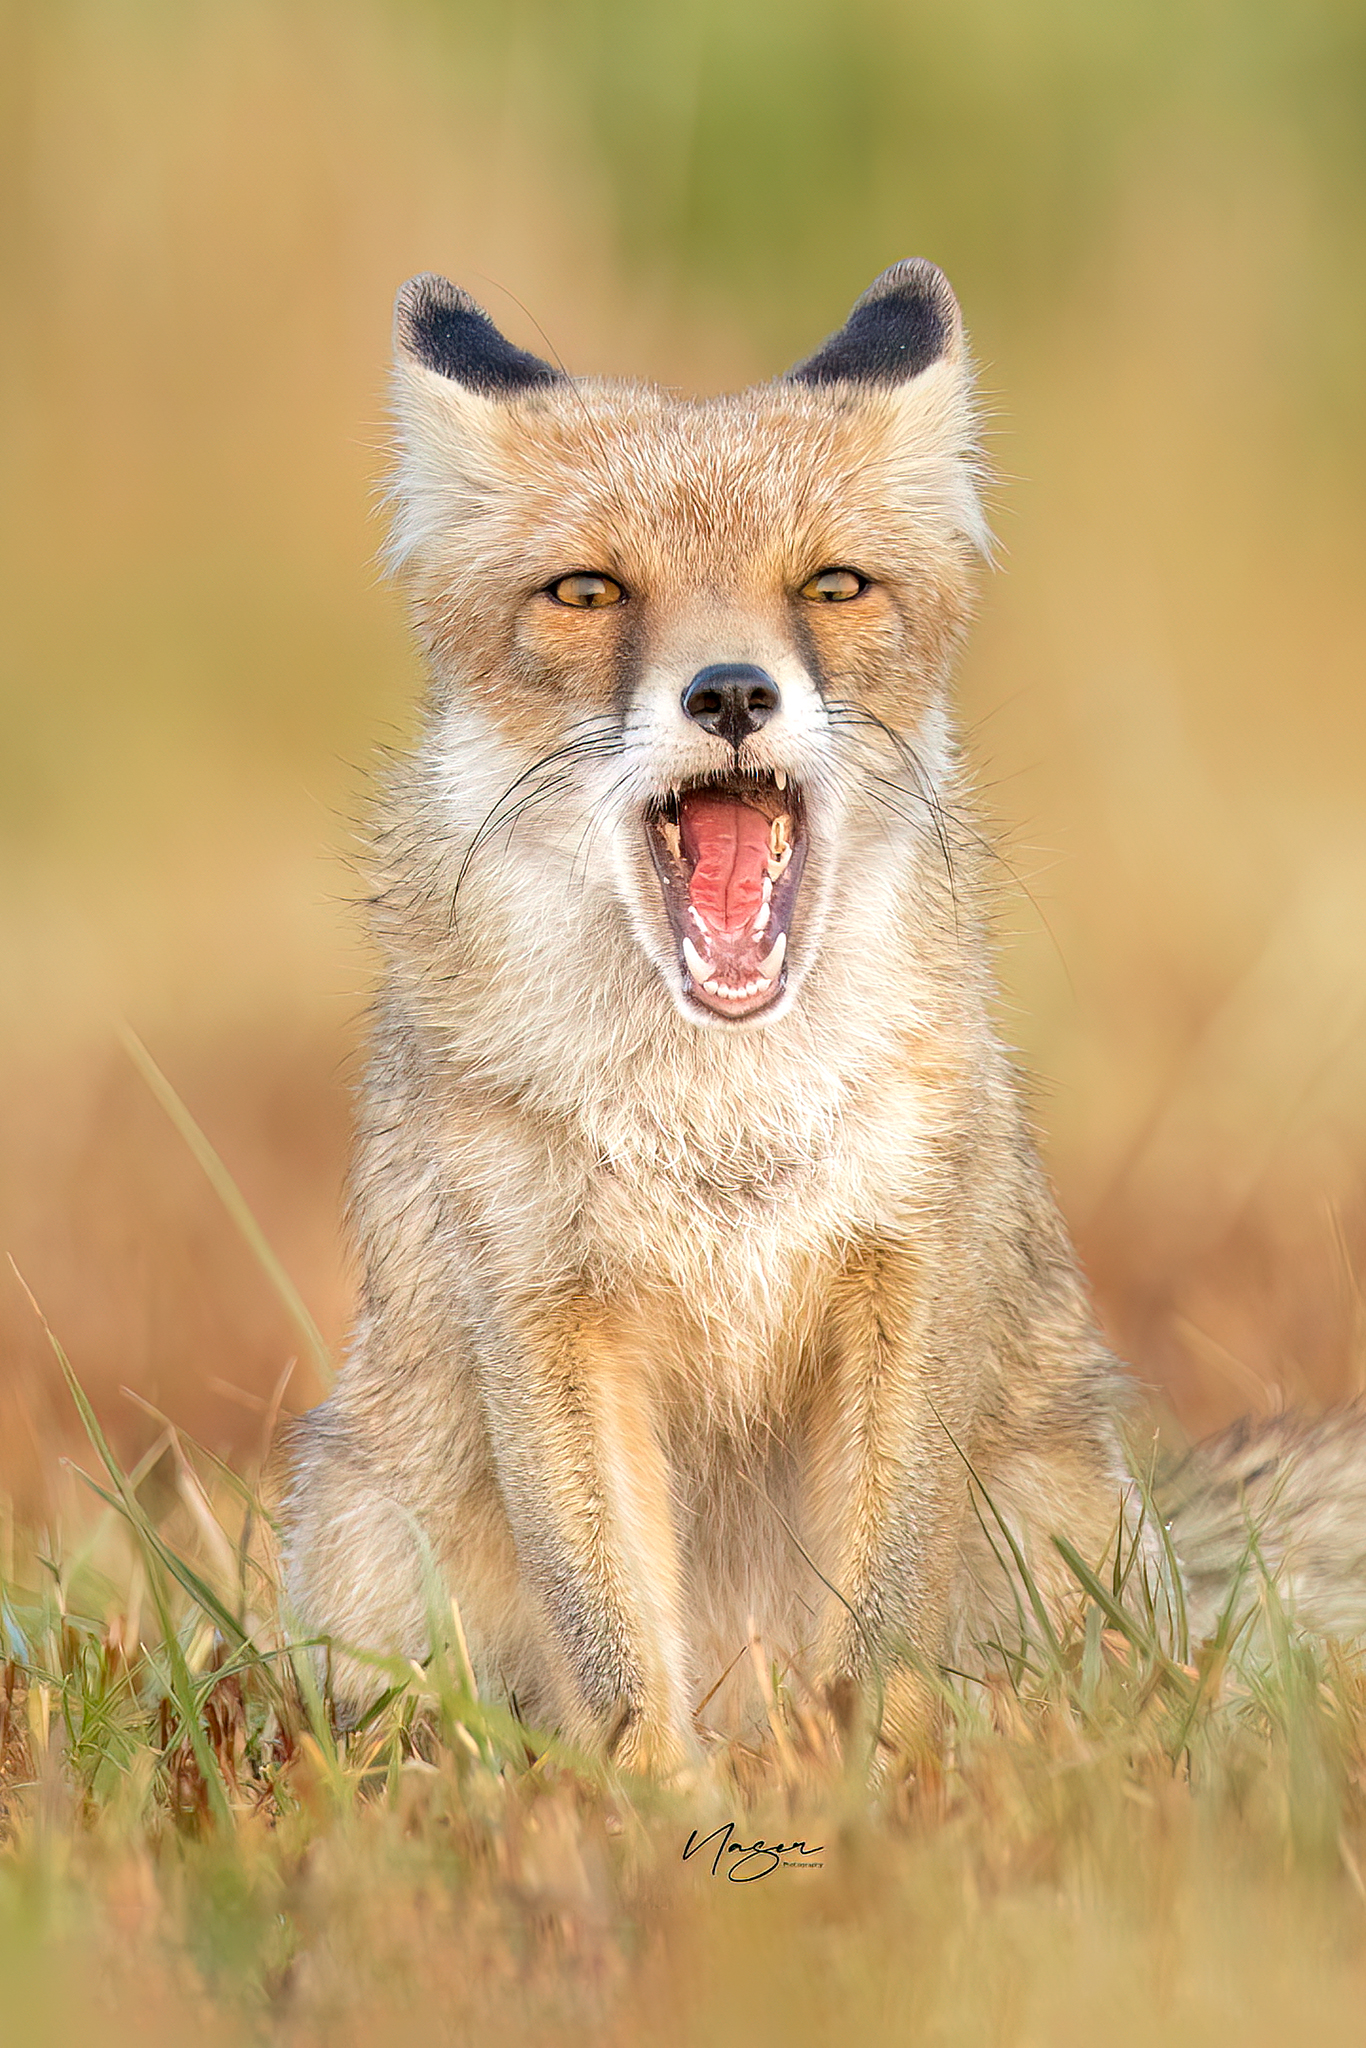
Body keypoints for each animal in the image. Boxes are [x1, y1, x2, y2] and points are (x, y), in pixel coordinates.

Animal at [284, 260, 1366, 1771]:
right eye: (587, 591)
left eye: (830, 584)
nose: (732, 691)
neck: (723, 1124)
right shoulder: (541, 1304)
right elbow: (617, 1649)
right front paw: (657, 1809)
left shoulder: (906, 1268)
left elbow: (878, 1620)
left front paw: (867, 1794)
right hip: (367, 1537)